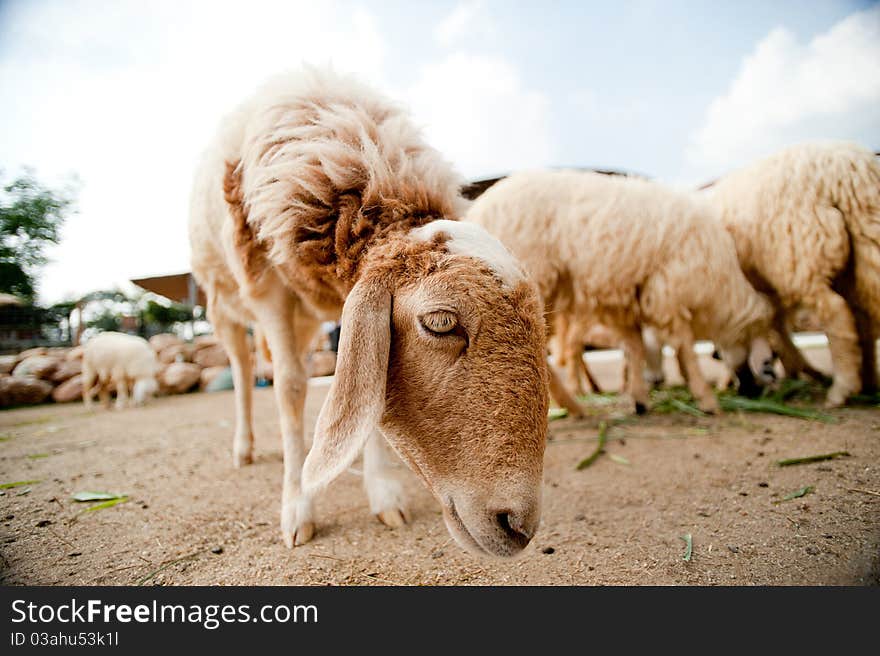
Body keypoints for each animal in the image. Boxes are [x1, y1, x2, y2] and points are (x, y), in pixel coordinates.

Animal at [188, 68, 552, 560]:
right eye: (441, 323)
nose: (518, 526)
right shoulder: (269, 286)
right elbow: (290, 387)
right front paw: (297, 506)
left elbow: (371, 388)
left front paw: (383, 495)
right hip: (222, 301)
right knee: (244, 369)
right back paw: (244, 447)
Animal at [464, 169, 772, 416]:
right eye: (765, 353)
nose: (753, 390)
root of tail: (477, 211)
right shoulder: (666, 291)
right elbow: (684, 350)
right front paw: (707, 400)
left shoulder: (627, 299)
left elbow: (635, 348)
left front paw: (639, 399)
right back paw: (571, 407)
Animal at [704, 142, 880, 408]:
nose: (747, 390)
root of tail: (845, 169)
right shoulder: (766, 292)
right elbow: (777, 330)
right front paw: (796, 371)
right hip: (860, 247)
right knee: (863, 318)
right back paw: (868, 383)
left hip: (800, 257)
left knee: (837, 314)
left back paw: (841, 390)